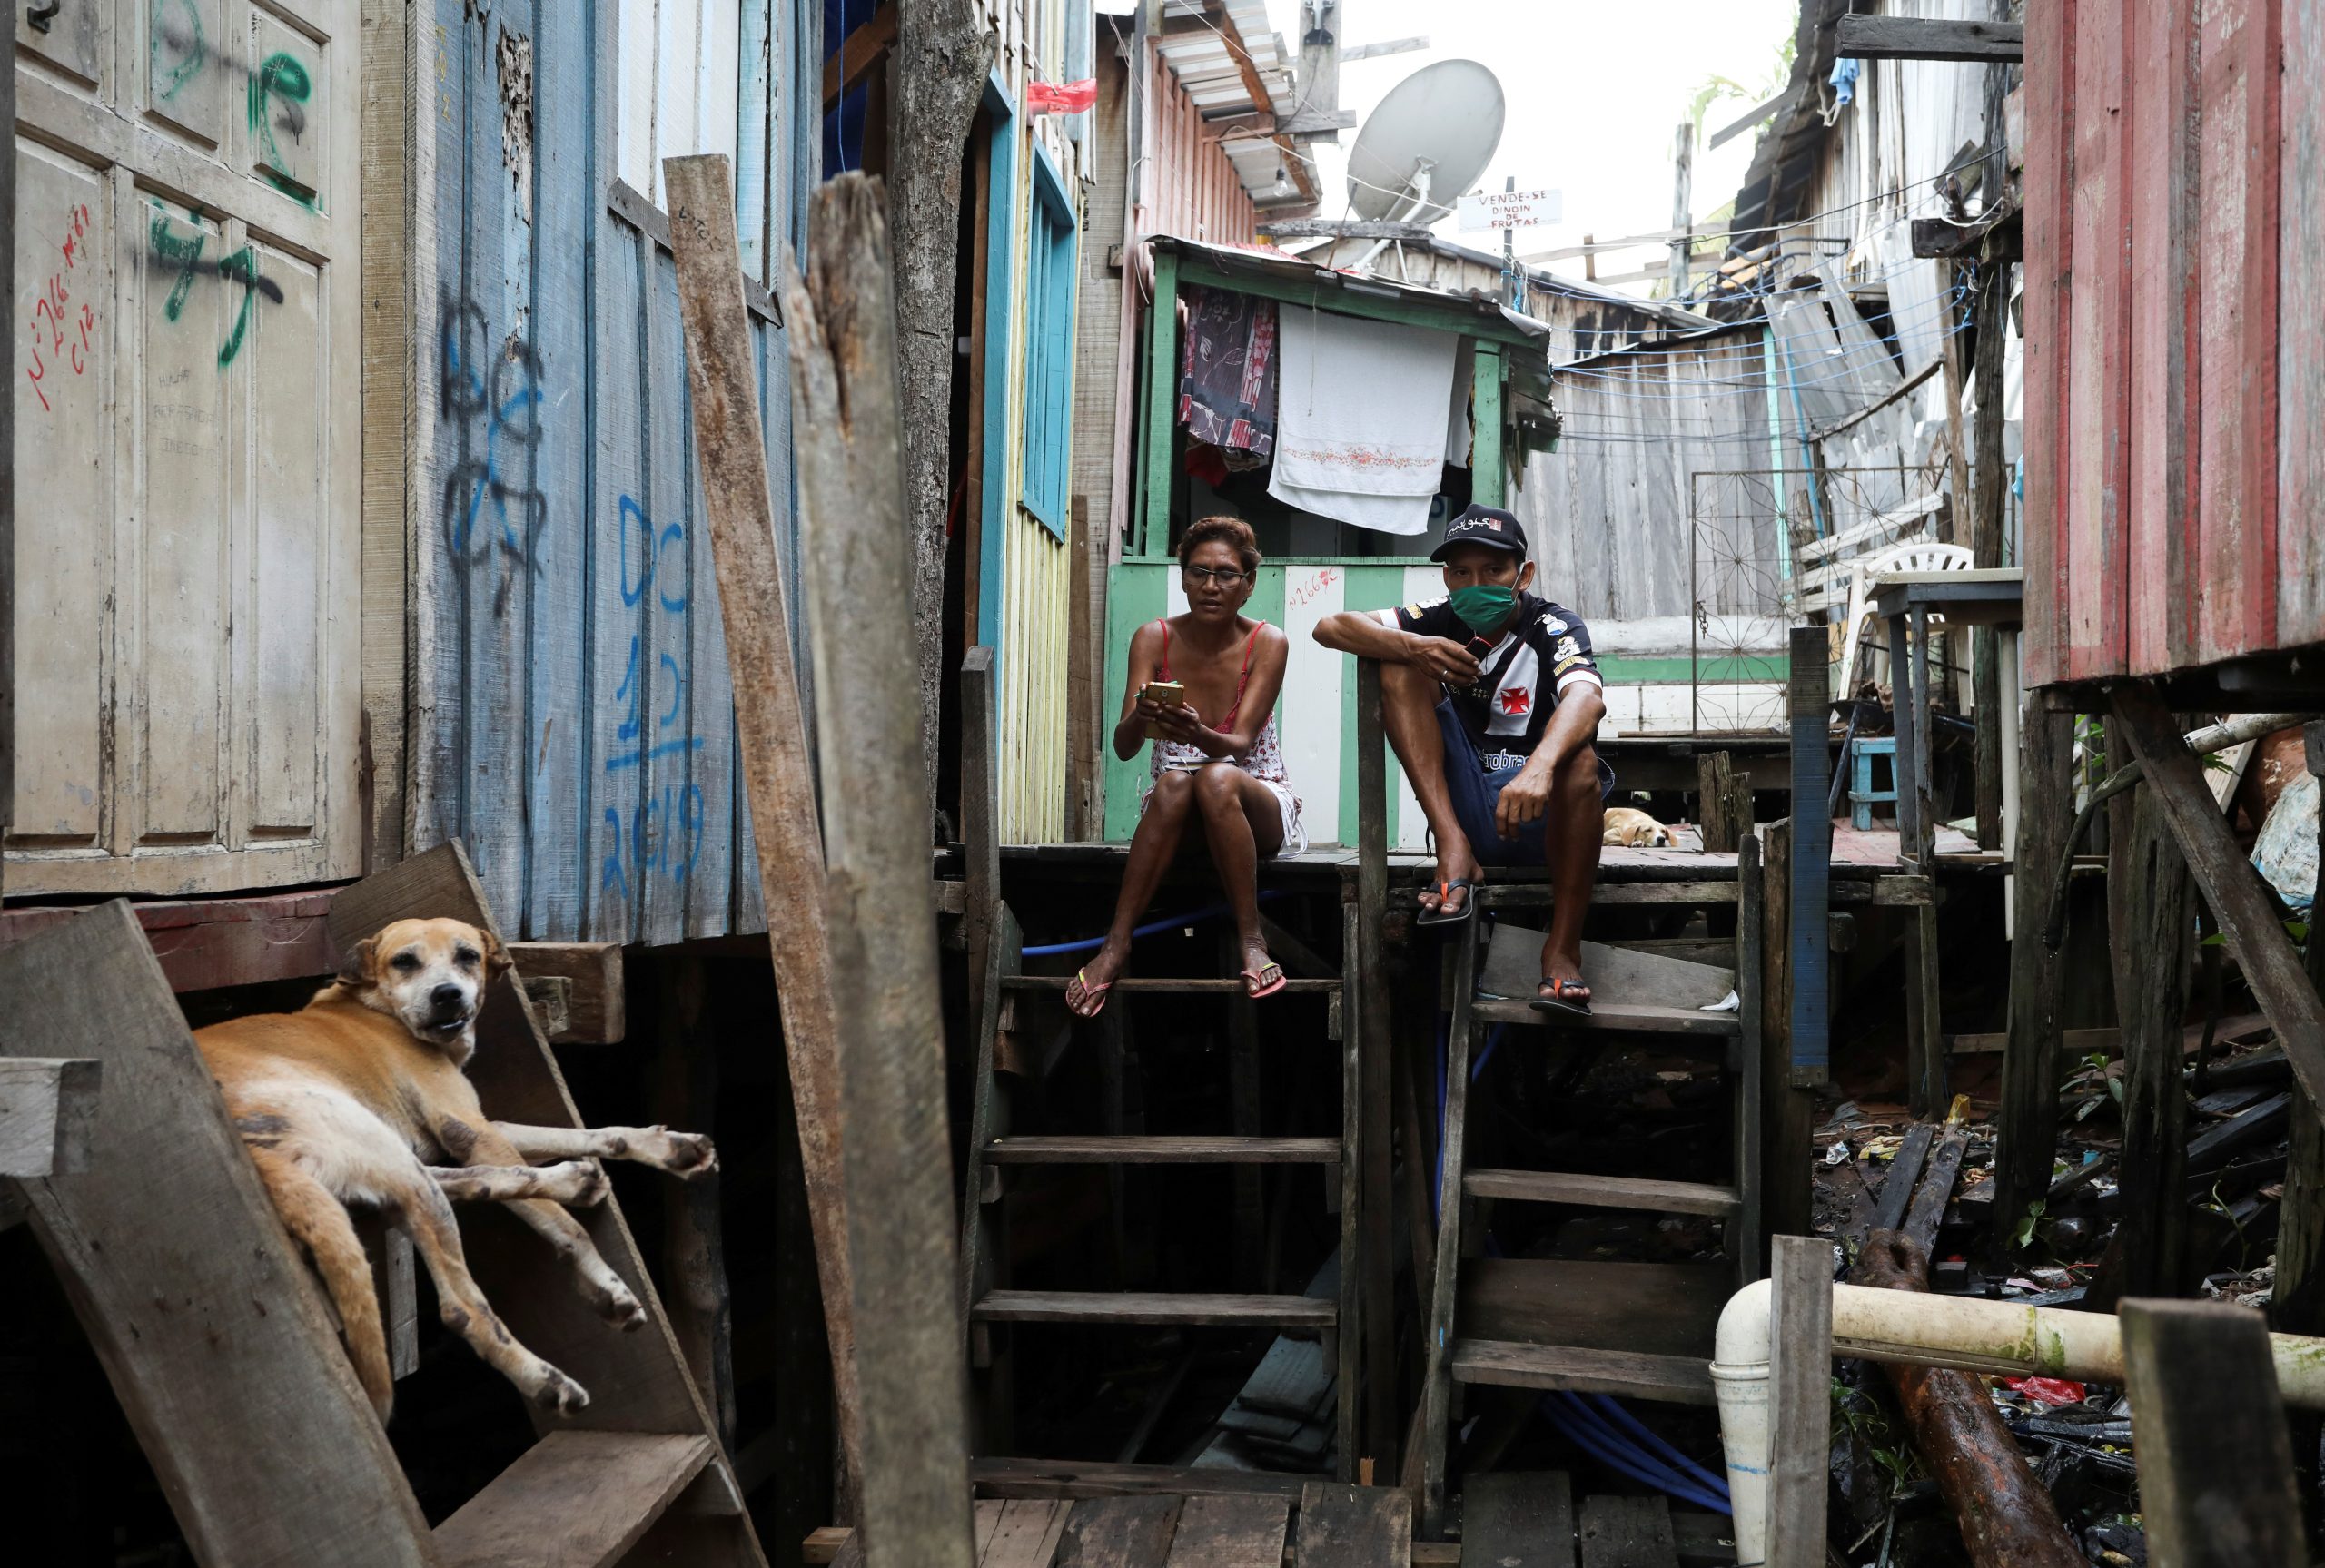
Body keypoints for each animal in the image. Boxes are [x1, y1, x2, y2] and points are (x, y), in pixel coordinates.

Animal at [195, 920, 711, 1421]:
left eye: (467, 955)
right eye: (405, 961)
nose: (447, 994)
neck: (377, 1009)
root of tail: (247, 1146)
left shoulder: (480, 1129)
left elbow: (588, 1133)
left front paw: (666, 1146)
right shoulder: (470, 1130)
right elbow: (568, 1228)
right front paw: (606, 1284)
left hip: (396, 1164)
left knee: (477, 1182)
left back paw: (574, 1179)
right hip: (386, 1155)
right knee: (462, 1306)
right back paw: (545, 1380)